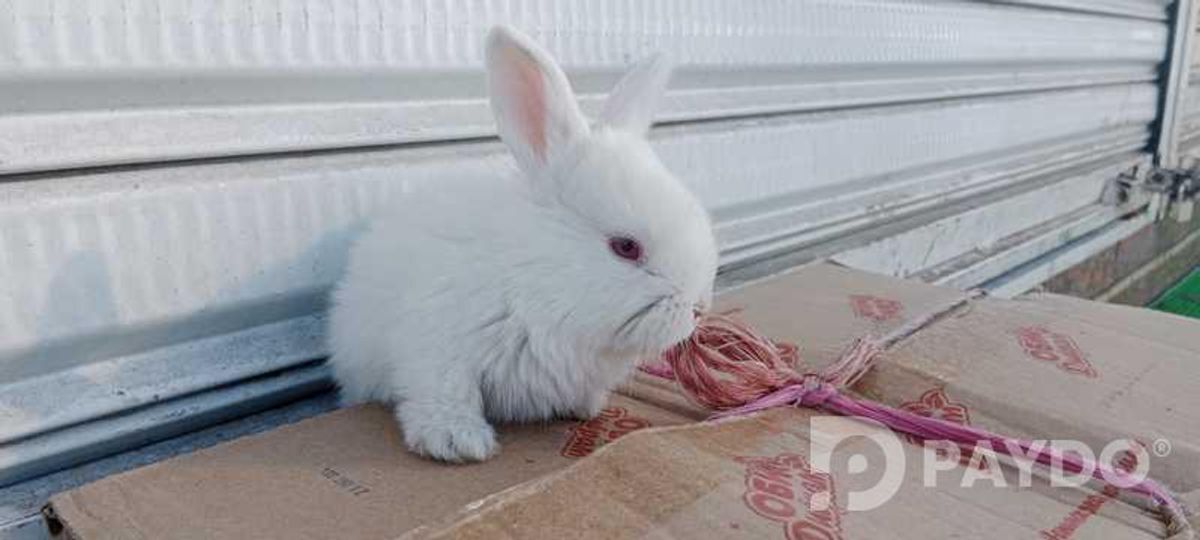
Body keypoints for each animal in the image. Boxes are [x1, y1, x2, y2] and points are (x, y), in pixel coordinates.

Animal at [328, 25, 717, 462]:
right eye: (625, 247)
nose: (699, 309)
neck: (536, 284)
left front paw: (586, 407)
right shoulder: (436, 349)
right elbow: (446, 394)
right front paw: (458, 443)